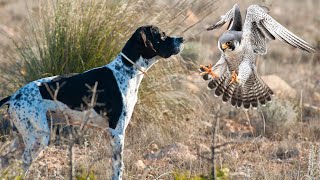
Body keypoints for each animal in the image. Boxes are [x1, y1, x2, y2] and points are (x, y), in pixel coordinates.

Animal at [0, 25, 184, 180]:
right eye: (162, 35)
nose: (182, 39)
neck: (126, 71)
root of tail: (14, 96)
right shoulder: (117, 132)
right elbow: (118, 168)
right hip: (38, 139)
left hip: (23, 139)